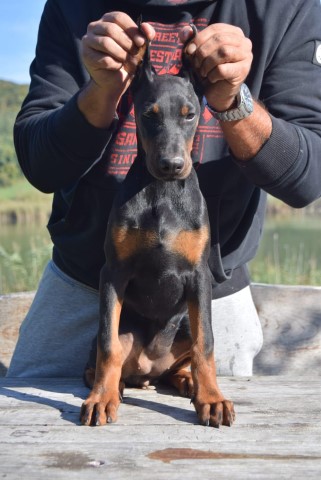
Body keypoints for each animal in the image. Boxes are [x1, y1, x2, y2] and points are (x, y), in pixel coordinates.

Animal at [80, 29, 235, 428]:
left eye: (190, 114)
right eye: (148, 115)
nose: (171, 165)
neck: (162, 193)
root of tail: (149, 369)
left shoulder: (199, 275)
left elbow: (206, 343)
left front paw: (212, 399)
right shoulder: (113, 272)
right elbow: (107, 344)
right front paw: (101, 399)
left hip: (183, 322)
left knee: (183, 359)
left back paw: (189, 383)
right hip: (125, 328)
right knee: (108, 353)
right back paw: (112, 386)